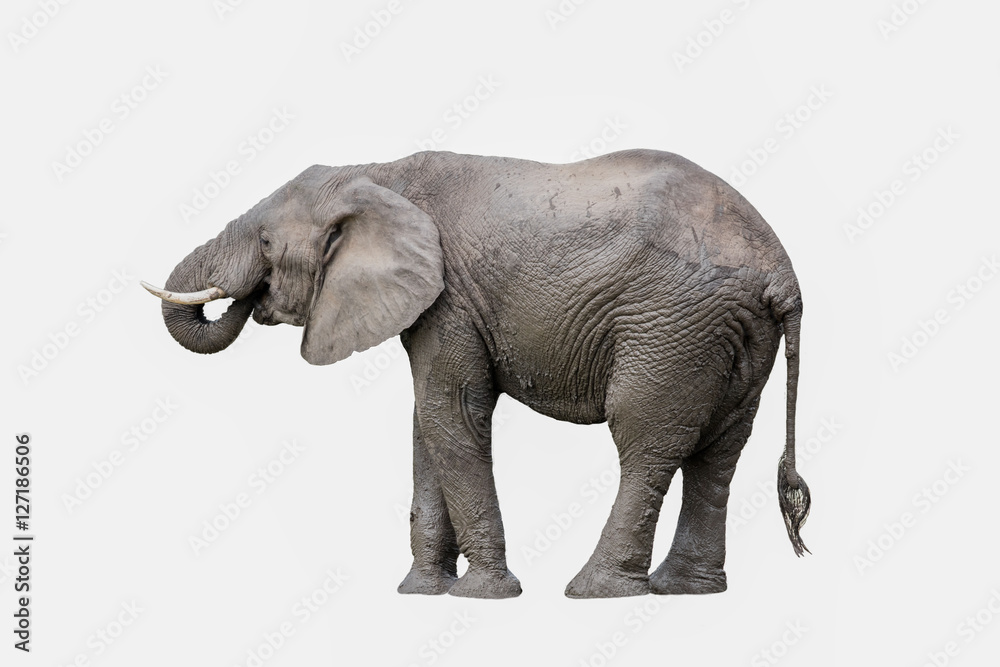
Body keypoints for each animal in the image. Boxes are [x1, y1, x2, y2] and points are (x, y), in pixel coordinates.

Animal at [143, 148, 810, 599]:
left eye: (264, 242)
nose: (246, 299)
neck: (377, 174)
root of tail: (782, 273)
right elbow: (427, 422)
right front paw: (419, 593)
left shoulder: (450, 300)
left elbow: (453, 411)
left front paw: (482, 594)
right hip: (734, 337)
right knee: (719, 449)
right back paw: (687, 590)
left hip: (672, 325)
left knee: (646, 440)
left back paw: (594, 590)